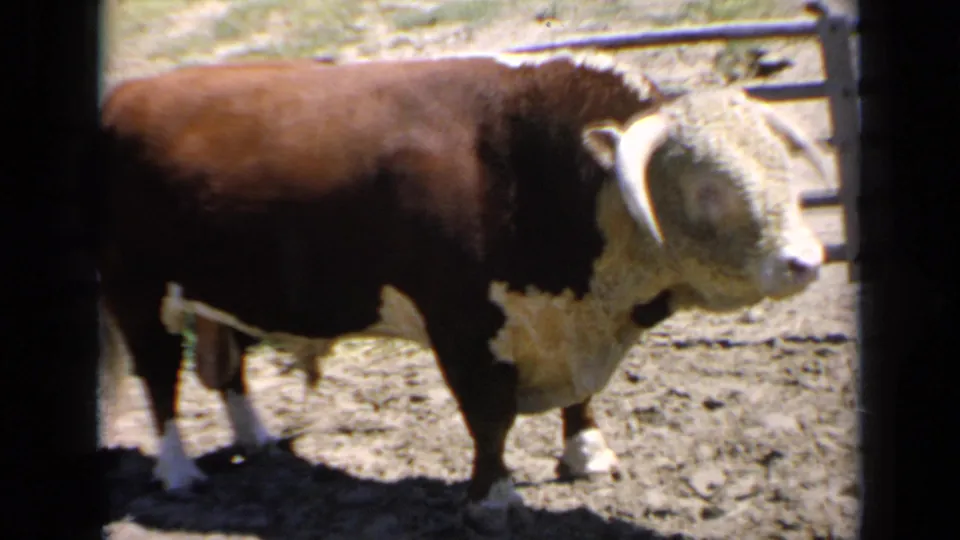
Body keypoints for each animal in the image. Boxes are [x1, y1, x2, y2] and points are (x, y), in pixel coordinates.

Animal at [96, 51, 827, 534]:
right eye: (707, 188)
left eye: (779, 165)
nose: (808, 259)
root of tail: (125, 95)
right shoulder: (463, 325)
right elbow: (489, 416)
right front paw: (494, 497)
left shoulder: (570, 325)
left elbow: (582, 399)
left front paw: (586, 452)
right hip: (137, 292)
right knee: (160, 381)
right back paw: (179, 473)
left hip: (226, 291)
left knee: (230, 369)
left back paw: (260, 439)